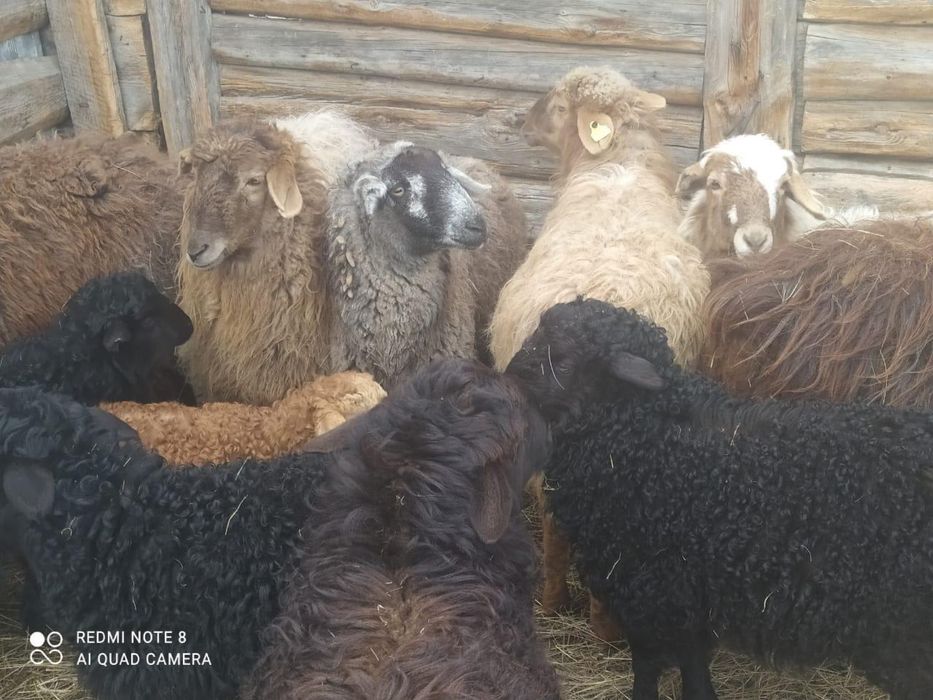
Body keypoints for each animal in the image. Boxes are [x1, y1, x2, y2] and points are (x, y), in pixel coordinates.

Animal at [507, 297, 933, 700]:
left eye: (561, 360)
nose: (508, 377)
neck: (647, 438)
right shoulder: (688, 597)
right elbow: (694, 665)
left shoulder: (648, 589)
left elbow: (647, 666)